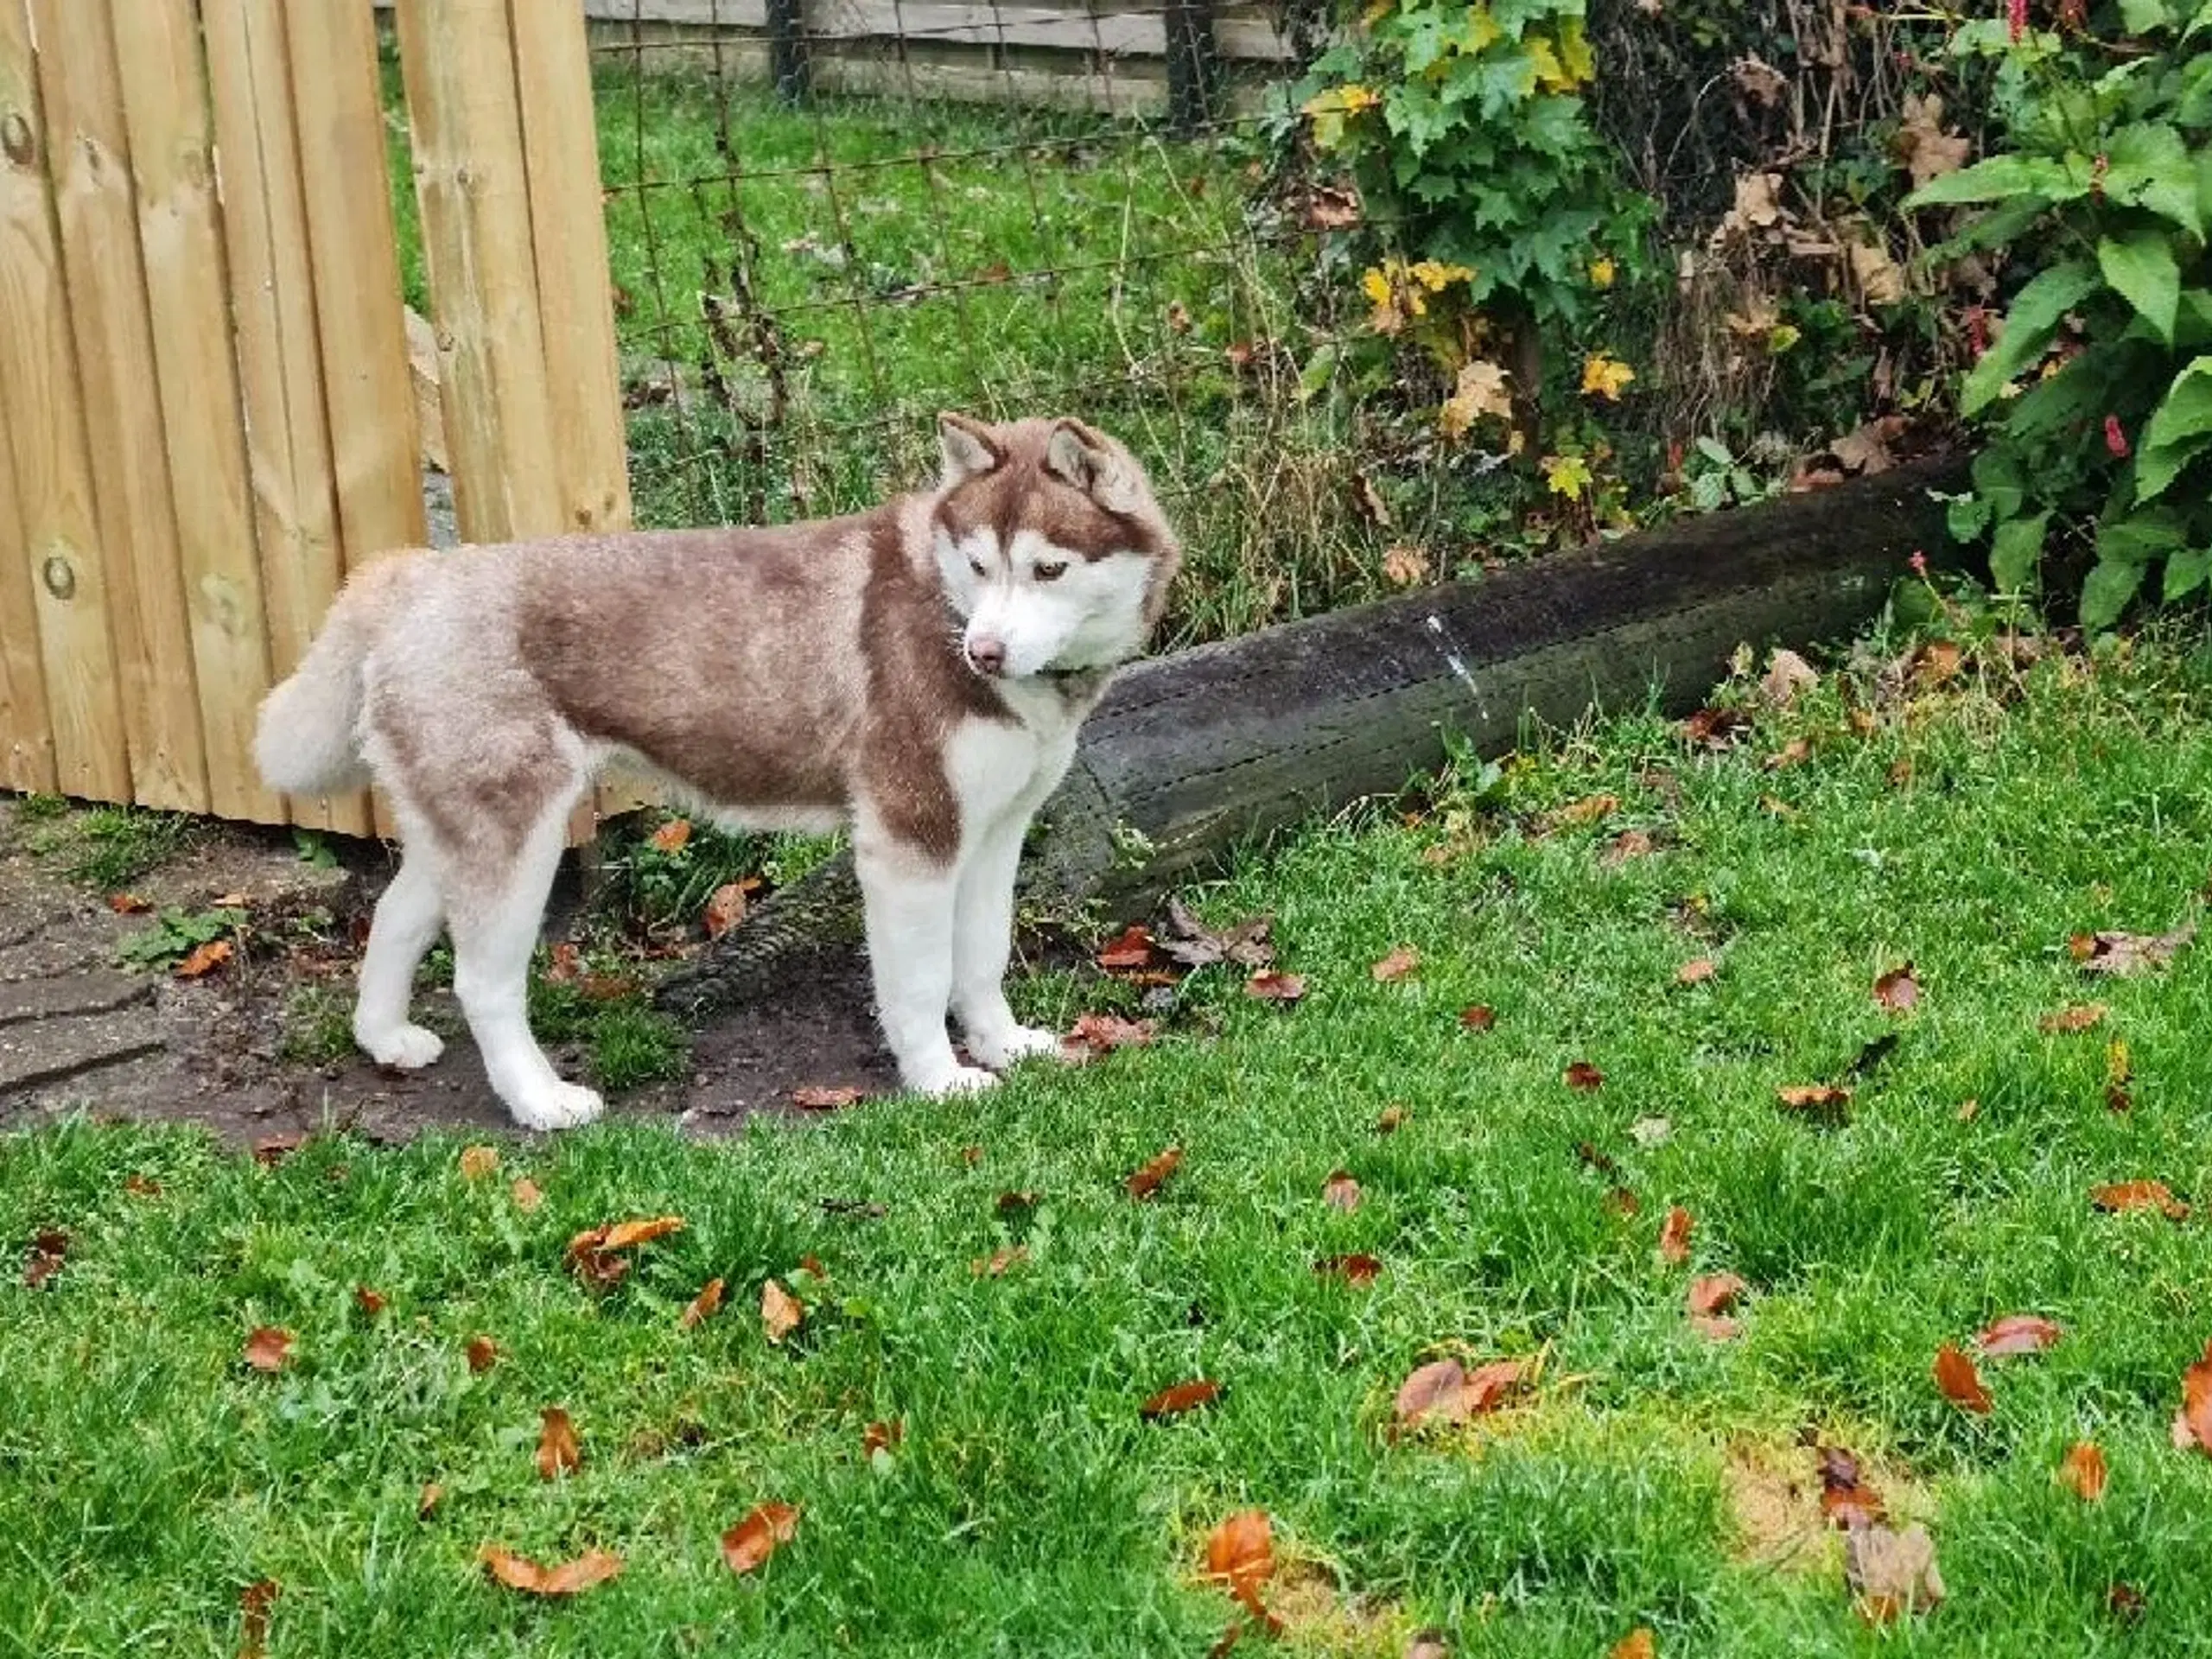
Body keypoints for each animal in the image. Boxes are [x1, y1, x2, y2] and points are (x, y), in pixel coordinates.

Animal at [256, 416, 1185, 1141]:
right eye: (980, 565)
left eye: (1048, 570)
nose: (983, 652)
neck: (942, 603)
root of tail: (408, 572)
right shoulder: (909, 835)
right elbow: (920, 981)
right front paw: (939, 1080)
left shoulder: (993, 832)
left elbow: (982, 957)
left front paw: (1003, 1044)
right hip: (520, 837)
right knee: (482, 981)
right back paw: (540, 1101)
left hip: (459, 826)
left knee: (392, 916)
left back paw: (384, 1039)